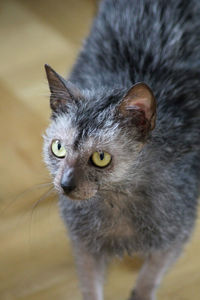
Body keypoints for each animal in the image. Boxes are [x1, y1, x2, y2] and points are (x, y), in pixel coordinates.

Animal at [42, 0, 200, 300]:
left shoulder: (175, 236)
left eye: (100, 158)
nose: (66, 184)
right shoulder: (84, 245)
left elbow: (150, 276)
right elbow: (90, 287)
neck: (116, 200)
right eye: (58, 148)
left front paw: (142, 291)